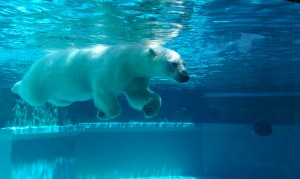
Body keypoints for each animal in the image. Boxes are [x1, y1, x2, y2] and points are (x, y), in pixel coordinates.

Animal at [12, 44, 190, 120]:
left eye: (183, 62)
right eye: (173, 63)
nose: (186, 76)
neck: (130, 60)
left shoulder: (135, 77)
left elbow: (137, 95)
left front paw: (150, 108)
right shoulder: (112, 71)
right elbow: (105, 93)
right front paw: (103, 113)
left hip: (60, 93)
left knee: (62, 100)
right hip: (40, 79)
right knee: (32, 95)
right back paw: (16, 86)